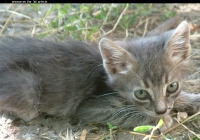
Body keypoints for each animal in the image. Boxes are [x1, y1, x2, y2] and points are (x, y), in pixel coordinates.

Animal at [0, 20, 199, 132]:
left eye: (172, 86)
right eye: (141, 93)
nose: (161, 111)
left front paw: (192, 100)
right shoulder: (90, 108)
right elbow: (125, 114)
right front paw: (159, 120)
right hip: (28, 86)